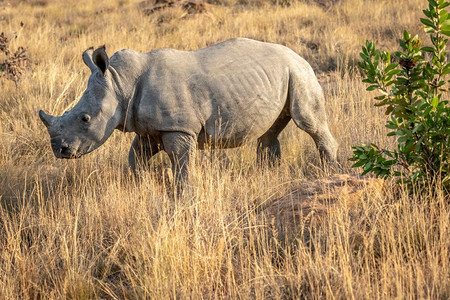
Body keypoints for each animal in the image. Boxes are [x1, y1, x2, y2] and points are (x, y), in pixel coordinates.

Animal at [38, 37, 338, 178]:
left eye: (85, 119)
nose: (59, 151)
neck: (120, 83)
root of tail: (299, 54)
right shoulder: (150, 128)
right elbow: (136, 157)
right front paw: (141, 182)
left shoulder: (179, 128)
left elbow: (182, 167)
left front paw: (182, 201)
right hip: (282, 74)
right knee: (270, 130)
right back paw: (267, 174)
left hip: (299, 73)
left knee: (307, 121)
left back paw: (331, 172)